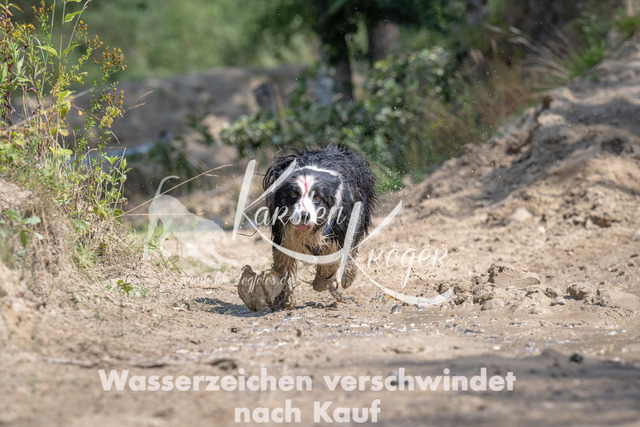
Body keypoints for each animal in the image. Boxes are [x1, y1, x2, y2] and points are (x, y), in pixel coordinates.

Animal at [263, 144, 376, 308]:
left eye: (317, 197)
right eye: (293, 194)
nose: (304, 216)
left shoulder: (340, 226)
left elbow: (333, 253)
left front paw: (322, 282)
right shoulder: (283, 233)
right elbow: (282, 262)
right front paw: (282, 298)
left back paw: (346, 277)